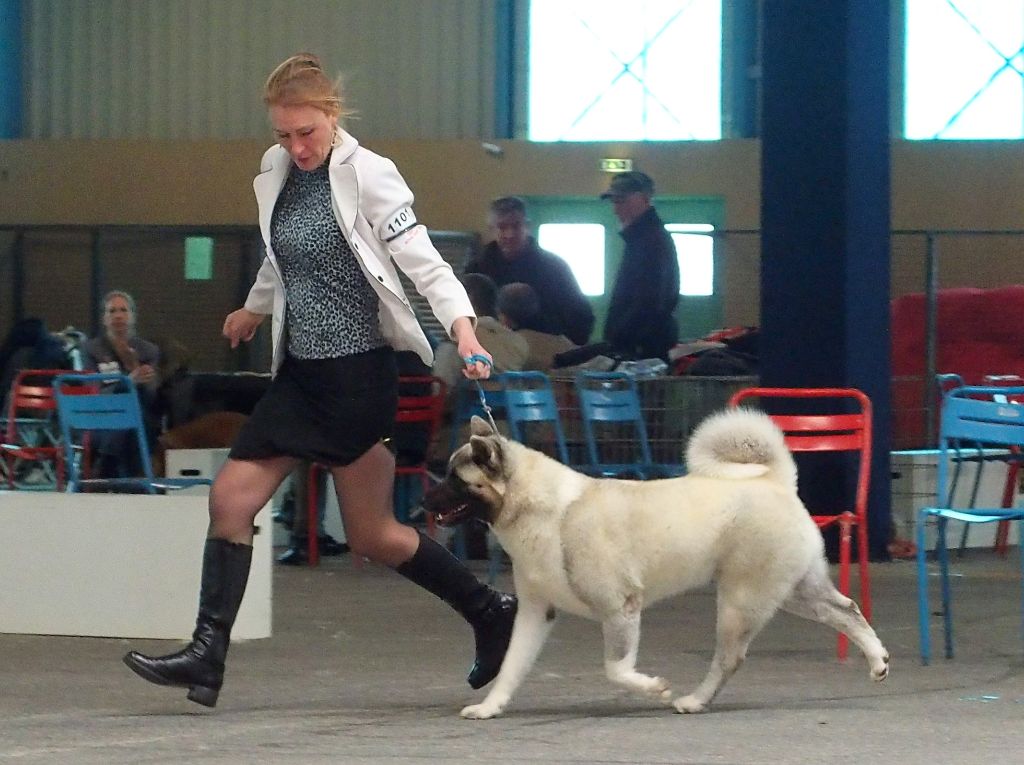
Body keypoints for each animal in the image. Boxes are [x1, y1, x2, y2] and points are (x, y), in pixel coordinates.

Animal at [423, 413, 888, 716]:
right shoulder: (537, 613)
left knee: (730, 658)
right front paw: (489, 707)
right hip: (793, 591)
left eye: (455, 480)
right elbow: (512, 668)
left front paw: (656, 688)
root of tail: (773, 480)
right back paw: (878, 660)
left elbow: (616, 669)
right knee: (846, 610)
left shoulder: (621, 608)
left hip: (741, 602)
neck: (543, 509)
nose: (423, 501)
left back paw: (694, 701)